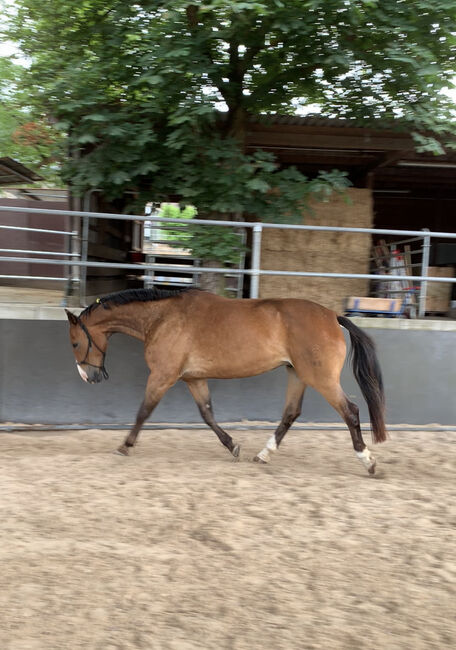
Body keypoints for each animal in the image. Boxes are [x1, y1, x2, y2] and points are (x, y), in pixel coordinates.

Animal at [63, 286, 384, 474]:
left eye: (75, 343)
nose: (89, 377)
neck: (163, 318)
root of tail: (331, 316)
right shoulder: (193, 379)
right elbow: (207, 414)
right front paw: (233, 446)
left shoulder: (163, 375)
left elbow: (143, 411)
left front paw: (125, 446)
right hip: (297, 374)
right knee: (291, 413)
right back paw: (263, 455)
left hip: (321, 378)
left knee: (351, 412)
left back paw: (367, 460)